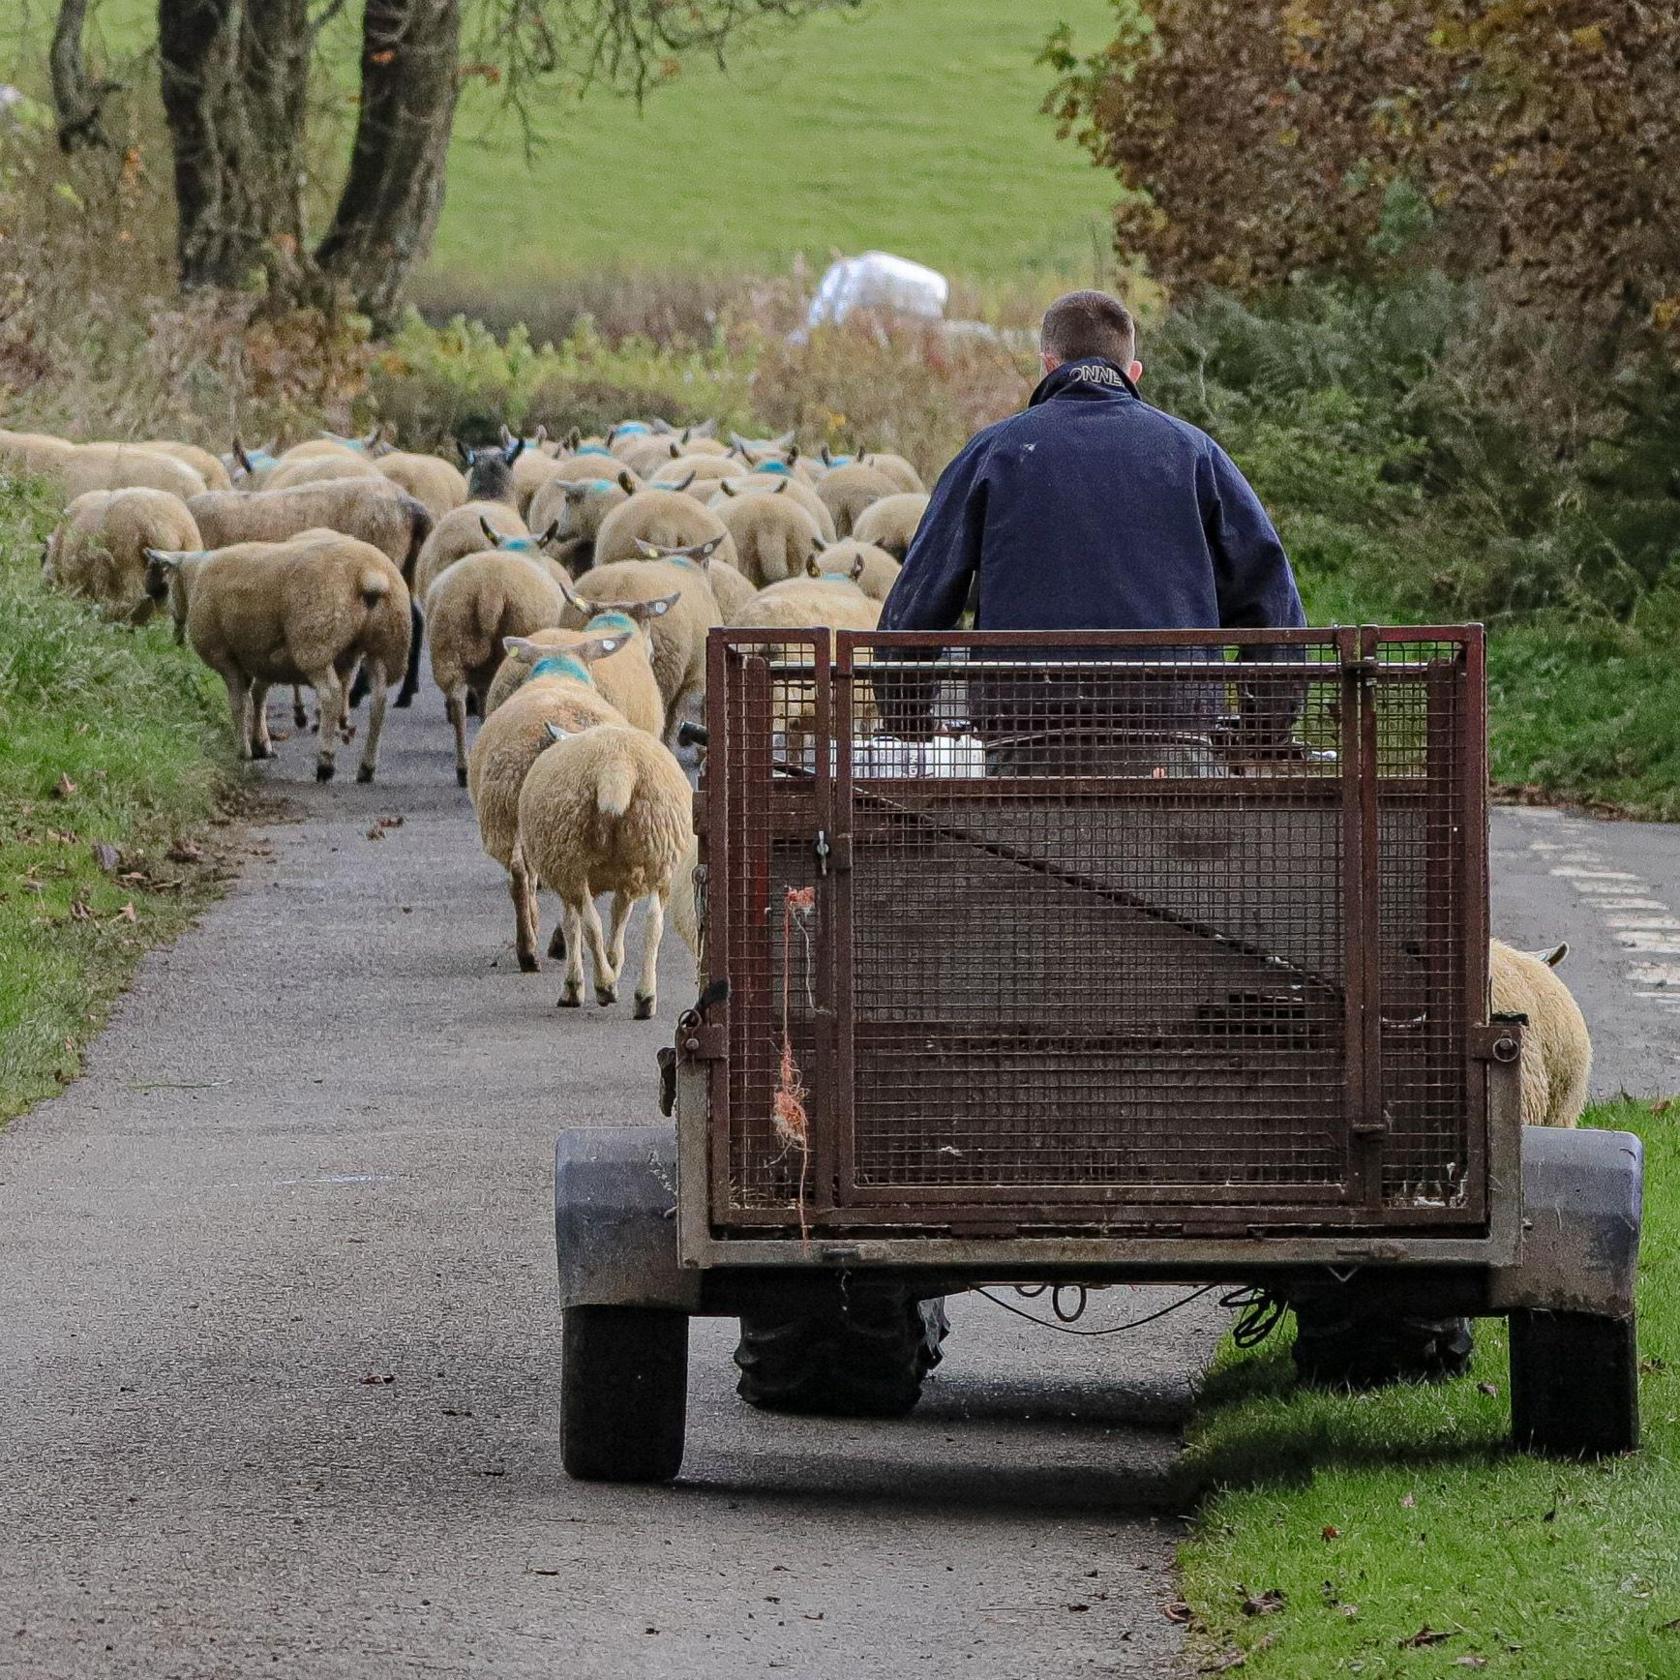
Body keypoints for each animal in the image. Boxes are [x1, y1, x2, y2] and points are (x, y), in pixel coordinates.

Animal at [142, 530, 408, 779]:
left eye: (167, 580)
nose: (174, 627)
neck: (195, 576)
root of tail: (369, 575)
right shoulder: (264, 656)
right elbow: (259, 696)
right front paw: (262, 744)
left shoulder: (225, 656)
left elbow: (239, 703)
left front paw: (244, 750)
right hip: (385, 644)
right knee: (379, 700)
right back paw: (367, 768)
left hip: (315, 638)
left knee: (330, 694)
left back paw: (325, 762)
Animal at [467, 631, 631, 967]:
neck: (559, 670)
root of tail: (558, 735)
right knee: (553, 880)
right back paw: (544, 946)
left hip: (510, 811)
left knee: (522, 873)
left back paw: (530, 948)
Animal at [510, 719, 695, 1007]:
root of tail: (616, 765)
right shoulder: (629, 880)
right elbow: (619, 919)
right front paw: (613, 963)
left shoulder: (565, 875)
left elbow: (571, 925)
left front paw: (573, 987)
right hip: (660, 852)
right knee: (654, 922)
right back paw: (644, 998)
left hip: (570, 855)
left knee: (591, 924)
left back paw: (604, 986)